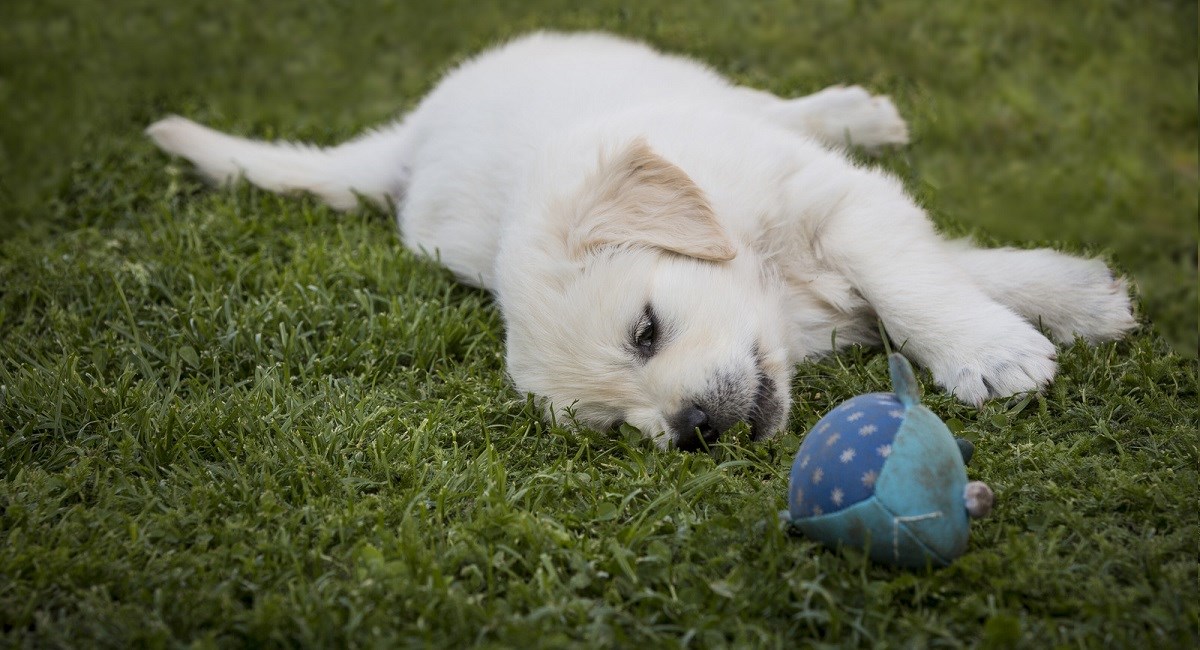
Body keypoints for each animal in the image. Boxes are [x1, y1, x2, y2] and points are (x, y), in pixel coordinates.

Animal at [147, 29, 1132, 448]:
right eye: (615, 428)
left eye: (646, 332)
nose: (691, 430)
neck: (769, 281)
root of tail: (412, 137)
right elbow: (938, 267)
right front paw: (1072, 301)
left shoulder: (831, 200)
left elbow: (915, 278)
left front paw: (999, 347)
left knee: (772, 103)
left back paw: (854, 112)